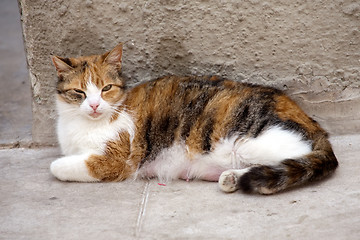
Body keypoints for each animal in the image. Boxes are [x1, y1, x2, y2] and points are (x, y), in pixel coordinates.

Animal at [50, 42, 338, 194]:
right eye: (79, 92)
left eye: (106, 88)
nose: (94, 105)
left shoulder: (118, 160)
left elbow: (61, 166)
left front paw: (60, 165)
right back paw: (231, 178)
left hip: (251, 143)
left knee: (293, 158)